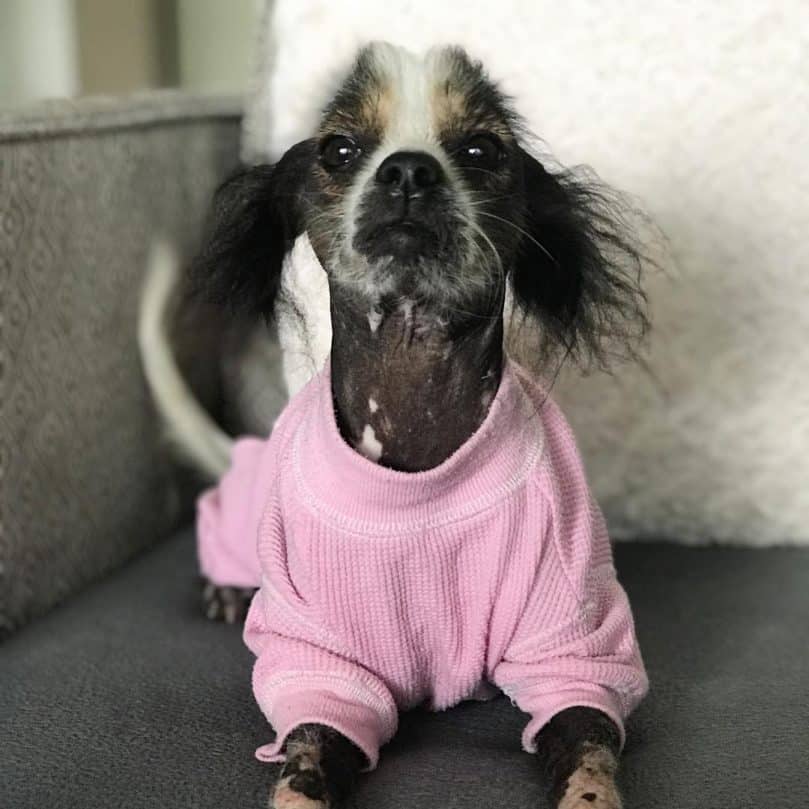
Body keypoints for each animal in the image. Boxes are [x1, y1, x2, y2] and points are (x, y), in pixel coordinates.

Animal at [140, 42, 652, 808]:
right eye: (339, 148)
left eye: (481, 148)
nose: (409, 168)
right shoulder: (320, 669)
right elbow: (303, 768)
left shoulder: (574, 649)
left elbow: (589, 760)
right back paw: (226, 587)